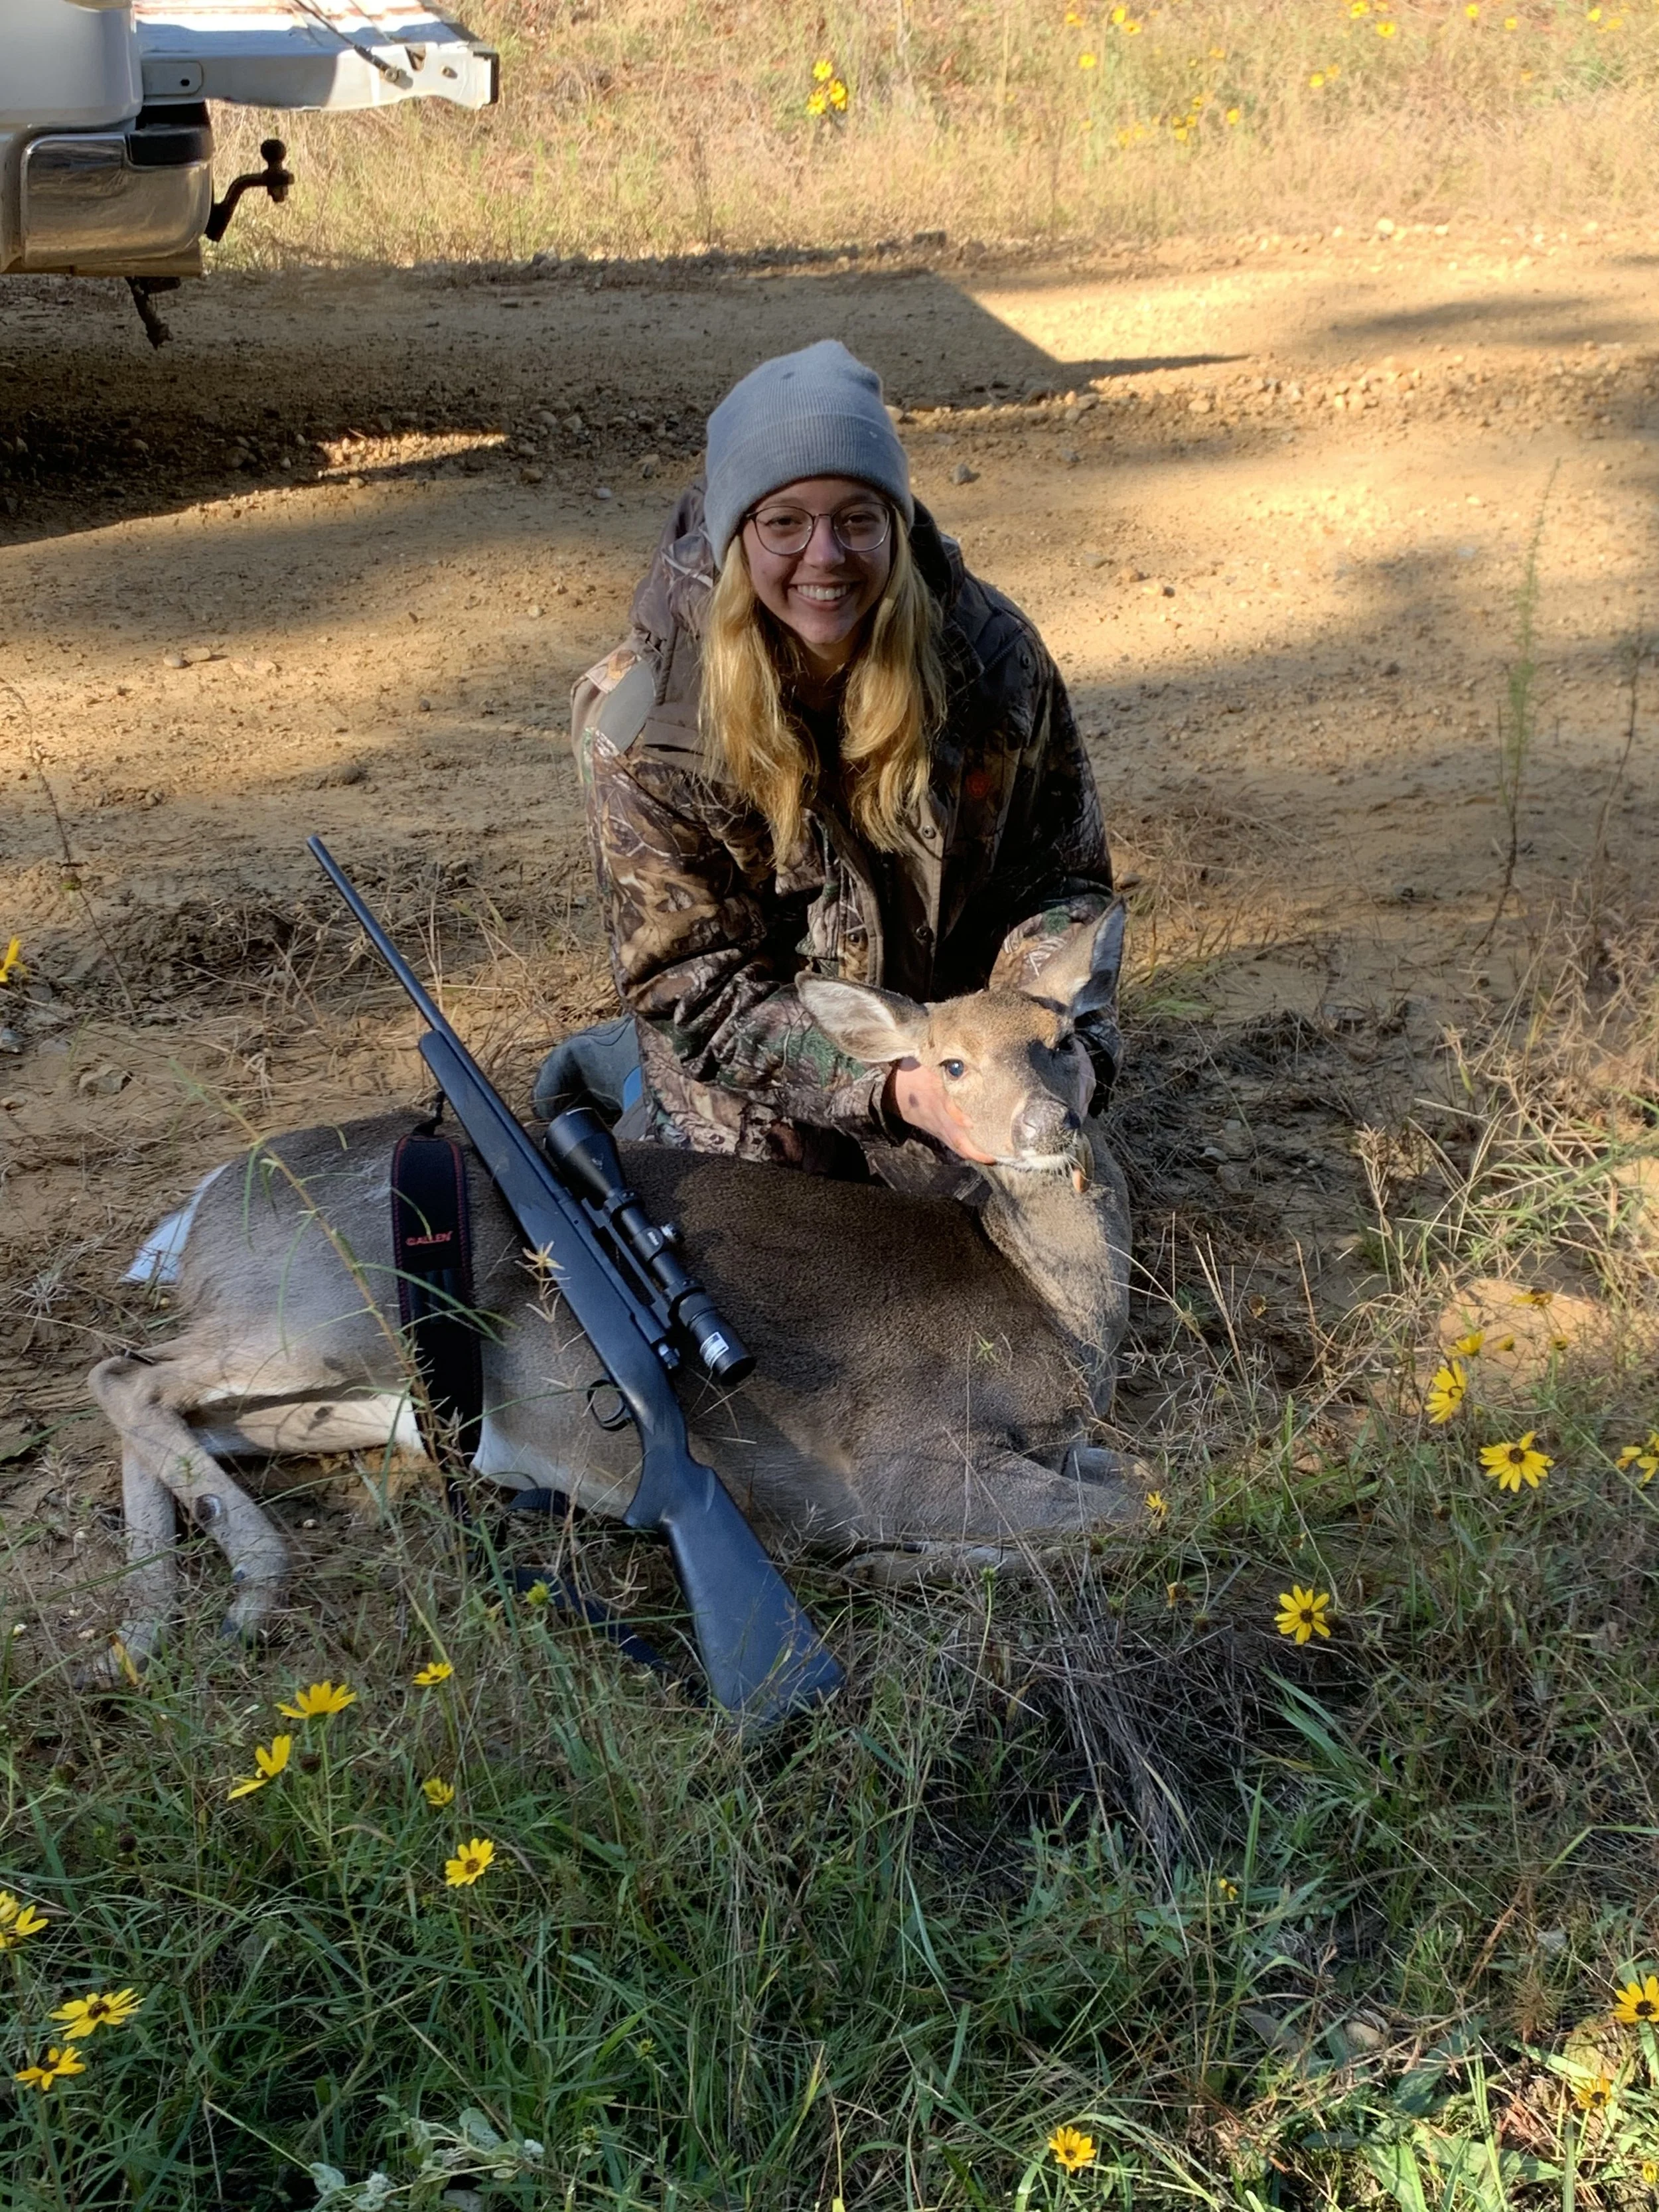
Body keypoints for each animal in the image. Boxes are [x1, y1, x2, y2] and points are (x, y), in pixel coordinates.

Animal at [87, 905, 1138, 1670]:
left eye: (1063, 1038)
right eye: (949, 1063)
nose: (1046, 1126)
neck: (1046, 1307)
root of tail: (198, 1211)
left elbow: (1136, 1483)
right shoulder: (895, 1455)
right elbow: (1129, 1512)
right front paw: (899, 1563)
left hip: (366, 1396)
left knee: (177, 1412)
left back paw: (145, 1629)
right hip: (327, 1310)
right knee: (124, 1375)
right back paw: (246, 1591)